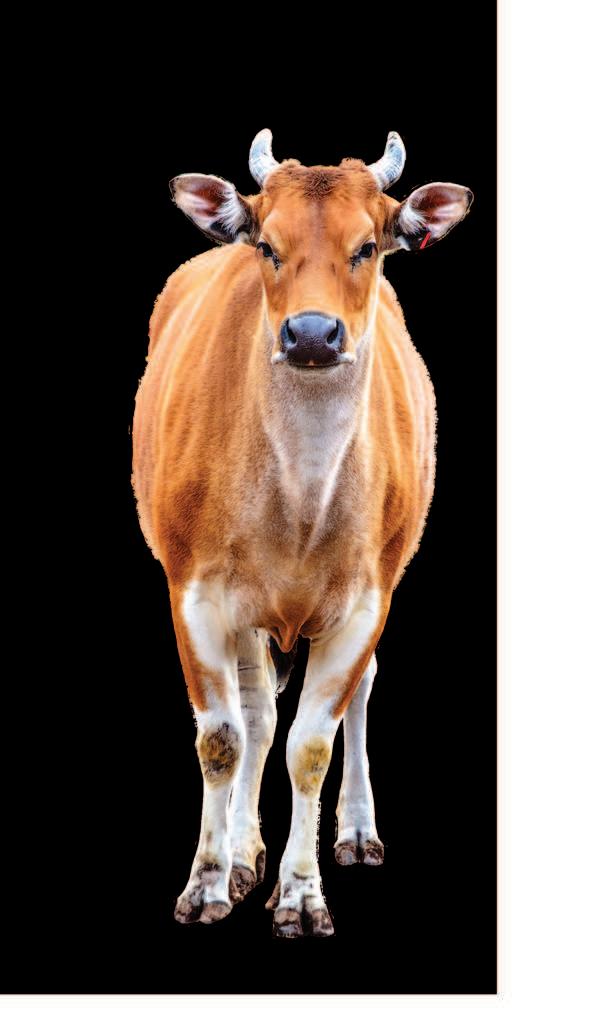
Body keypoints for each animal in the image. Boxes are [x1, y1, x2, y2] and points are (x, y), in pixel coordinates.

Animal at [132, 129, 472, 938]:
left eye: (368, 245)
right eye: (267, 243)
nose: (313, 333)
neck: (298, 508)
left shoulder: (365, 602)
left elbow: (311, 745)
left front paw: (300, 894)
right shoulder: (194, 594)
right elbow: (224, 737)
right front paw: (208, 881)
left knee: (355, 696)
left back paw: (354, 831)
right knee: (255, 715)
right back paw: (242, 849)